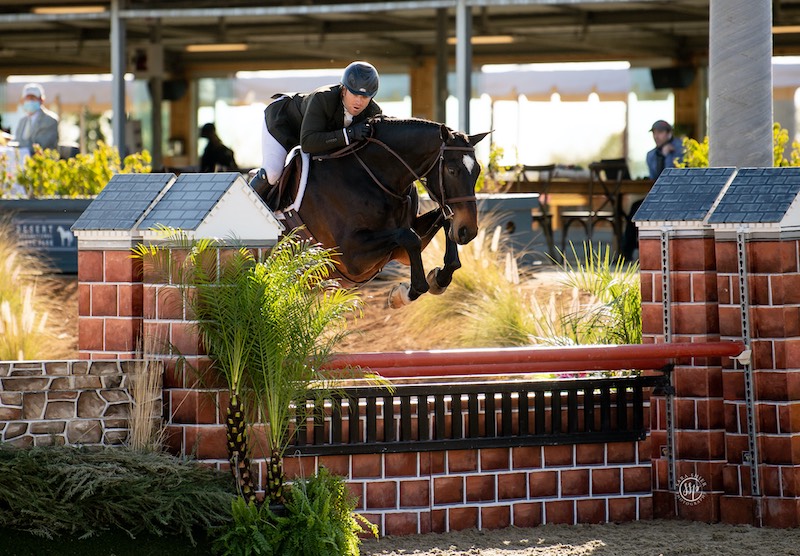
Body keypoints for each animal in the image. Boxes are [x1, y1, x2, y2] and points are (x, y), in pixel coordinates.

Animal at [264, 116, 488, 308]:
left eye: (477, 170)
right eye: (452, 170)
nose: (468, 231)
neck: (375, 178)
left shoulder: (400, 247)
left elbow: (440, 224)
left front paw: (439, 279)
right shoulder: (351, 258)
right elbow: (409, 238)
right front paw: (403, 295)